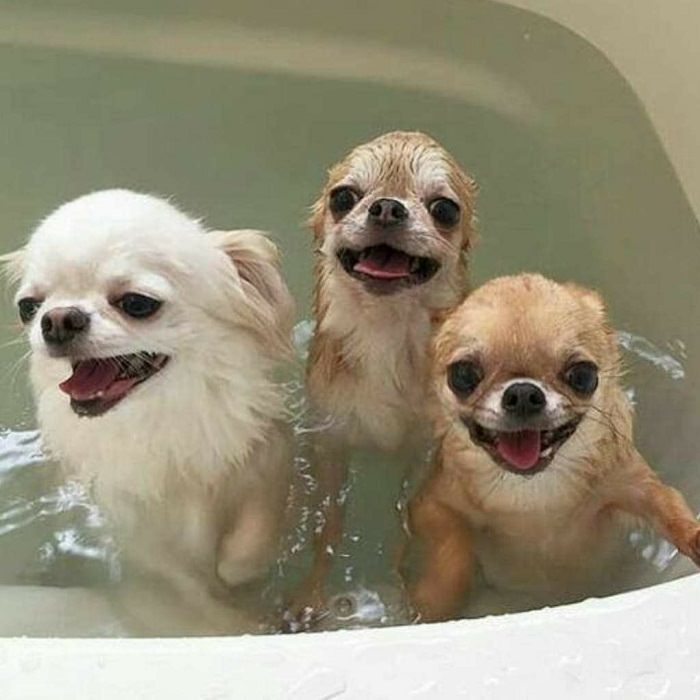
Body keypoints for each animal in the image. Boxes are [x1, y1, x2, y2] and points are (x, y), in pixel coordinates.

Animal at [3, 190, 292, 636]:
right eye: (28, 308)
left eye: (137, 304)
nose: (57, 320)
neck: (154, 413)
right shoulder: (131, 529)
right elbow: (179, 583)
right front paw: (229, 615)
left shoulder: (265, 456)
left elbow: (255, 530)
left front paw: (235, 569)